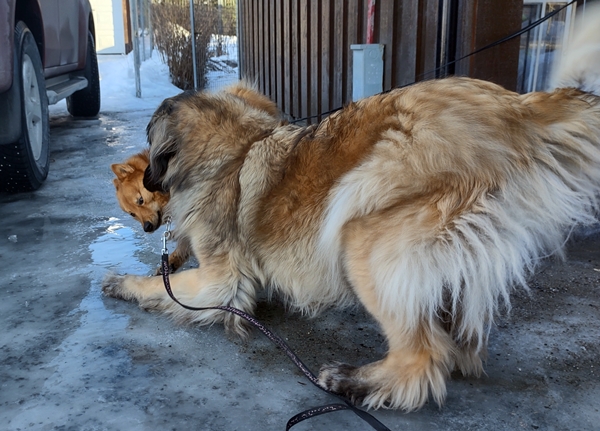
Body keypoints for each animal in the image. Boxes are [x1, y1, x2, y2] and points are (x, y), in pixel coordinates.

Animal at [103, 12, 600, 412]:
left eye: (143, 197)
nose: (148, 220)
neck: (232, 150)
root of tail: (514, 110)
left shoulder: (218, 281)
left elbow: (166, 287)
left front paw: (124, 283)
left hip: (362, 229)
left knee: (422, 358)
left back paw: (356, 383)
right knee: (454, 335)